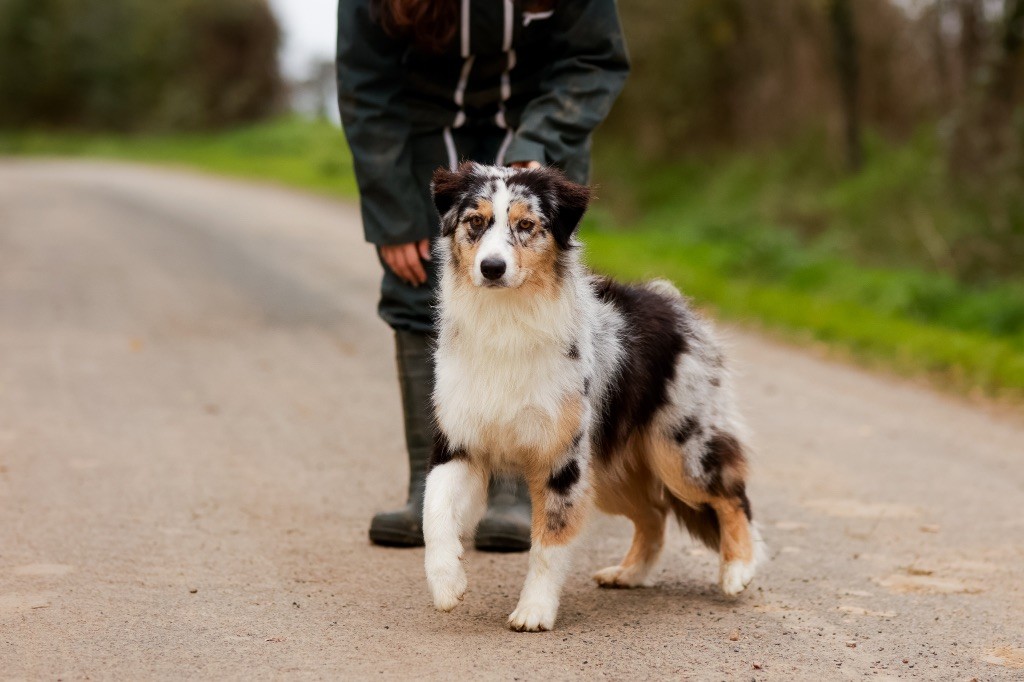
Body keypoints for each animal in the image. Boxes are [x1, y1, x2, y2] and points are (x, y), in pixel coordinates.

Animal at [419, 161, 765, 630]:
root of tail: (673, 302)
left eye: (525, 225)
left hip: (678, 450)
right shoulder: (459, 440)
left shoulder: (563, 460)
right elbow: (434, 511)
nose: (492, 267)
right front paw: (446, 583)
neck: (506, 321)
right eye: (476, 221)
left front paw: (534, 611)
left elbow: (549, 543)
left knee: (730, 495)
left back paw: (737, 569)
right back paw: (629, 573)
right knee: (654, 516)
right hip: (610, 471)